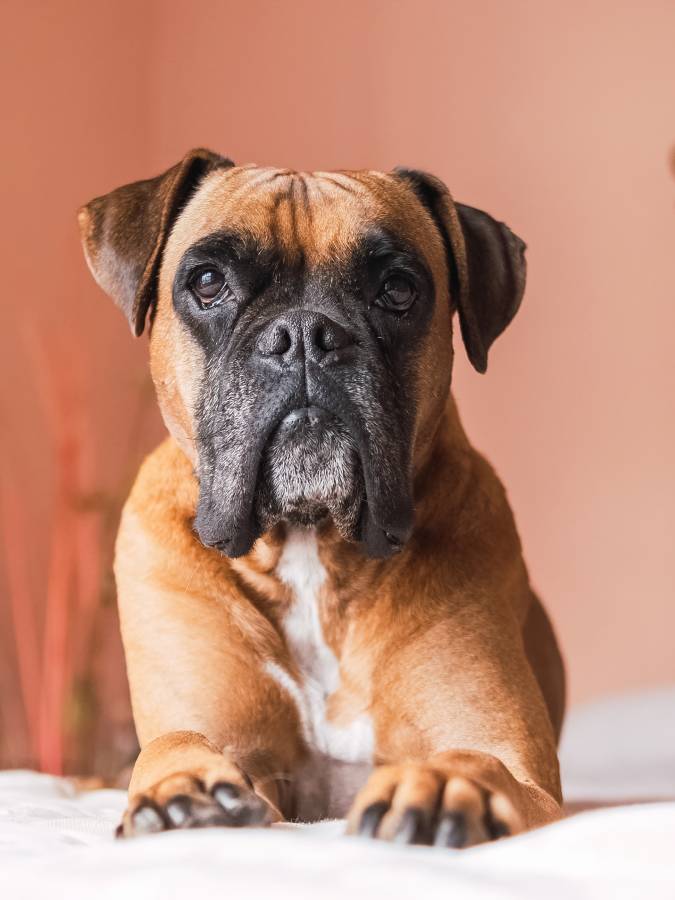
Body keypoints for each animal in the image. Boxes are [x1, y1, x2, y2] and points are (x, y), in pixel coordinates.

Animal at [79, 151, 564, 848]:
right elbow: (176, 743)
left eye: (398, 290)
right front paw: (182, 785)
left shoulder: (522, 768)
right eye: (207, 282)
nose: (306, 333)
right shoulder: (232, 742)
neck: (311, 547)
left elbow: (480, 759)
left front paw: (449, 782)